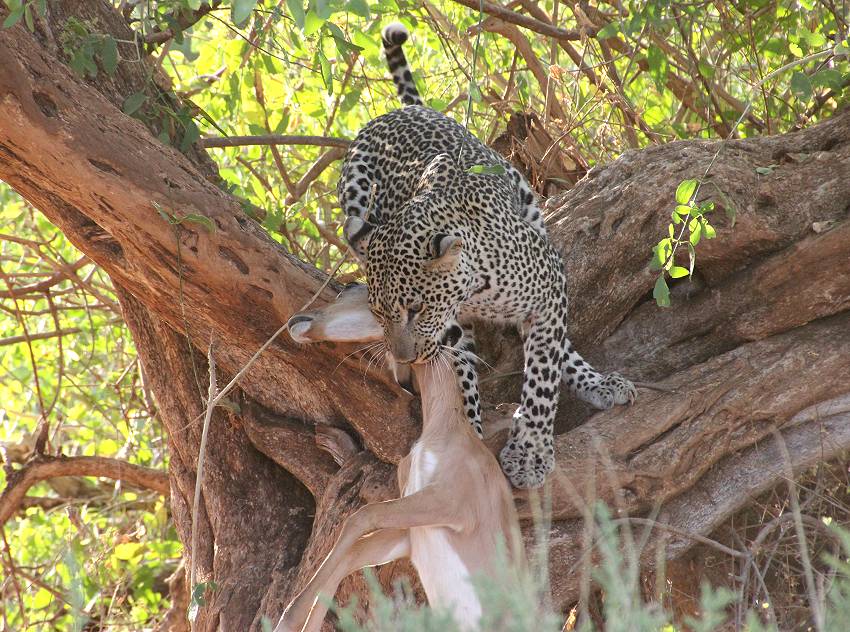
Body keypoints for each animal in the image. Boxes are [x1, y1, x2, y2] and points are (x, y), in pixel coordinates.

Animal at [334, 21, 632, 488]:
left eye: (416, 309)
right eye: (379, 315)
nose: (404, 358)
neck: (473, 287)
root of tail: (403, 112)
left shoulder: (548, 283)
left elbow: (543, 373)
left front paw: (530, 452)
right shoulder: (453, 327)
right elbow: (459, 379)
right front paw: (466, 437)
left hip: (532, 214)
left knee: (556, 343)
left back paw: (595, 381)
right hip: (356, 193)